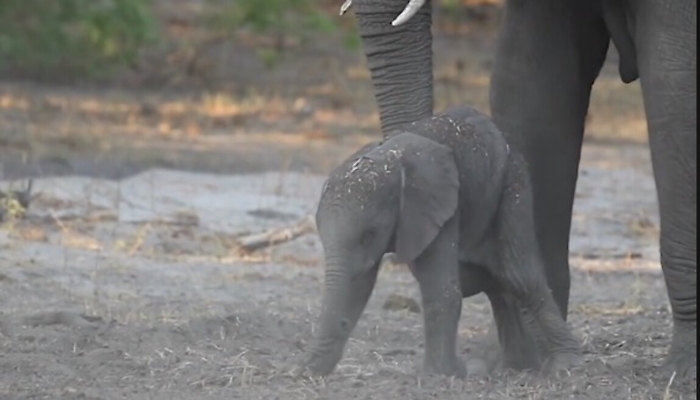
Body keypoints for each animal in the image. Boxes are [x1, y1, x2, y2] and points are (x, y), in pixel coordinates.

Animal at [296, 106, 583, 377]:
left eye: (370, 233)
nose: (300, 369)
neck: (389, 158)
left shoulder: (436, 206)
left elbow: (440, 286)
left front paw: (439, 375)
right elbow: (357, 285)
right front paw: (307, 371)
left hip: (513, 182)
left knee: (519, 276)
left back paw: (564, 365)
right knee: (492, 277)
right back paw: (516, 367)